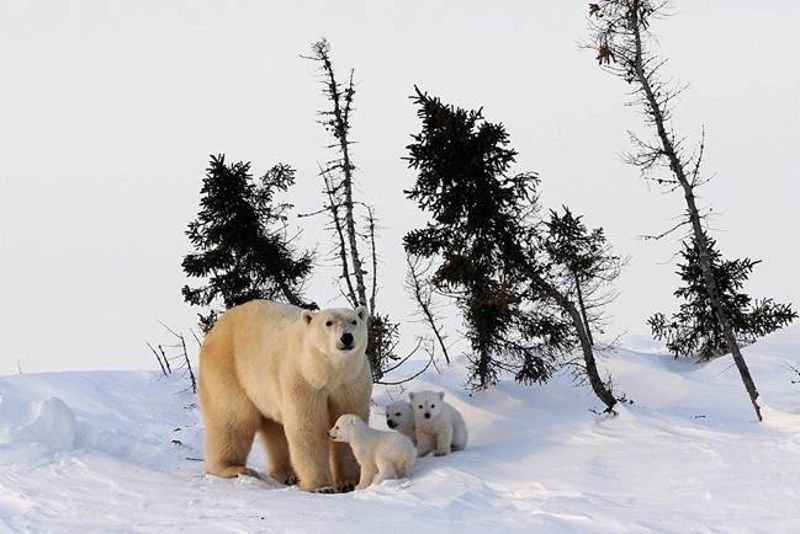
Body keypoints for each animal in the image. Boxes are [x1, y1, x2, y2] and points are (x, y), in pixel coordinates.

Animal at [199, 300, 372, 492]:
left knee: (274, 429)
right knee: (233, 419)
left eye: (354, 321)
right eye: (328, 323)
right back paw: (233, 468)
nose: (346, 337)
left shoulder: (351, 383)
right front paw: (322, 486)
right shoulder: (302, 381)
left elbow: (347, 418)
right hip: (228, 368)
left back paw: (286, 474)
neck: (326, 371)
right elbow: (308, 427)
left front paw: (349, 482)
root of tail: (218, 326)